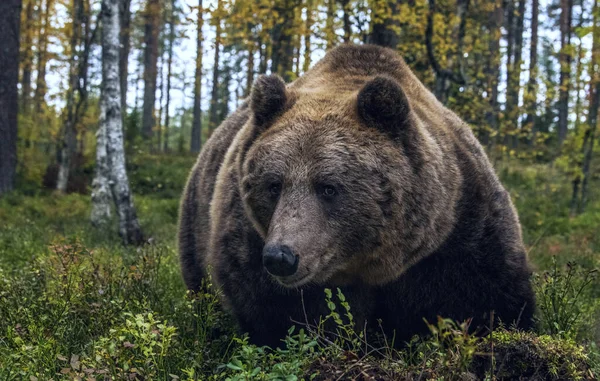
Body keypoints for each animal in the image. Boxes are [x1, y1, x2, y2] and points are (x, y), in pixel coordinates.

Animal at [178, 43, 536, 346]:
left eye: (328, 187)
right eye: (274, 184)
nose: (281, 256)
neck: (367, 266)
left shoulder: (458, 229)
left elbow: (490, 297)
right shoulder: (248, 239)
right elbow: (275, 311)